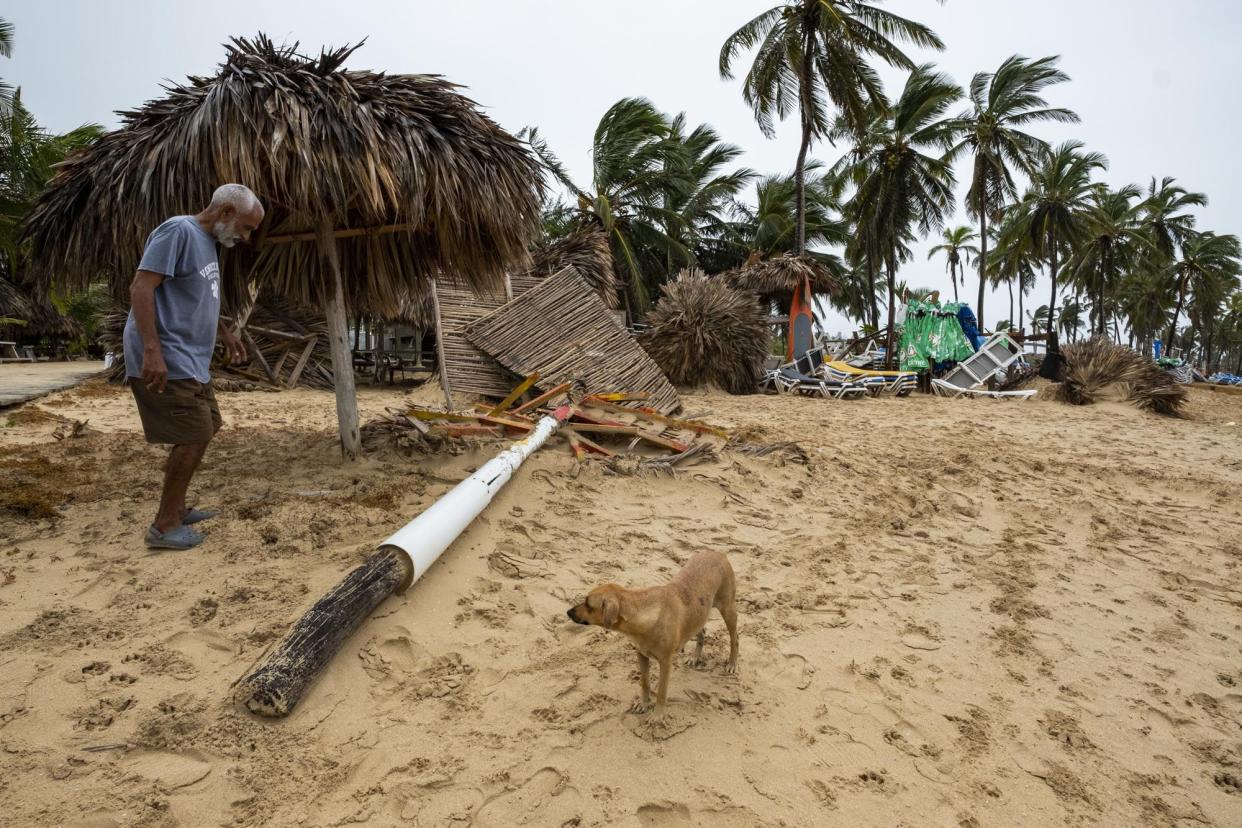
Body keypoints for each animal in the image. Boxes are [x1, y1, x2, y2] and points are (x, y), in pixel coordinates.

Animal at [568, 551, 735, 720]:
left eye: (588, 604)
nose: (568, 612)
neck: (642, 613)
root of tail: (717, 553)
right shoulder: (641, 654)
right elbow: (645, 682)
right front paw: (644, 704)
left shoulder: (665, 662)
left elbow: (661, 692)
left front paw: (657, 715)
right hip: (698, 615)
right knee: (701, 631)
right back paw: (695, 657)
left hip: (728, 609)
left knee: (735, 639)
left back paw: (732, 664)